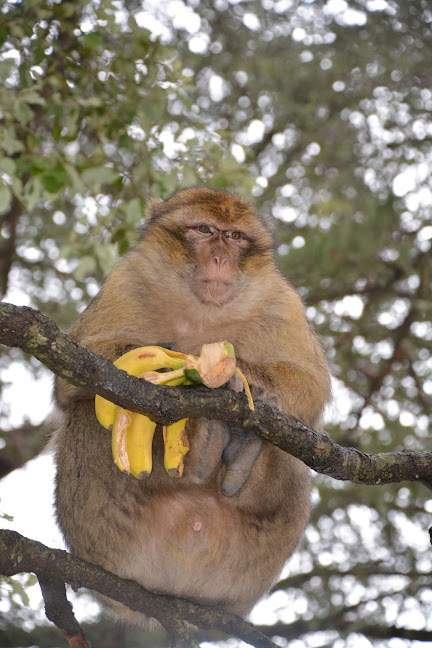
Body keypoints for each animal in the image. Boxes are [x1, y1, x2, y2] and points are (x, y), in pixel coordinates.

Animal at [49, 186, 330, 624]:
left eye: (234, 236)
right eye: (203, 230)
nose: (220, 258)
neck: (203, 311)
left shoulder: (281, 300)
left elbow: (312, 387)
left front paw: (238, 375)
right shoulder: (126, 281)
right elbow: (71, 380)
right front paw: (172, 361)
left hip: (254, 563)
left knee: (290, 431)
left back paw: (239, 451)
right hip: (110, 541)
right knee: (94, 409)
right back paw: (204, 449)